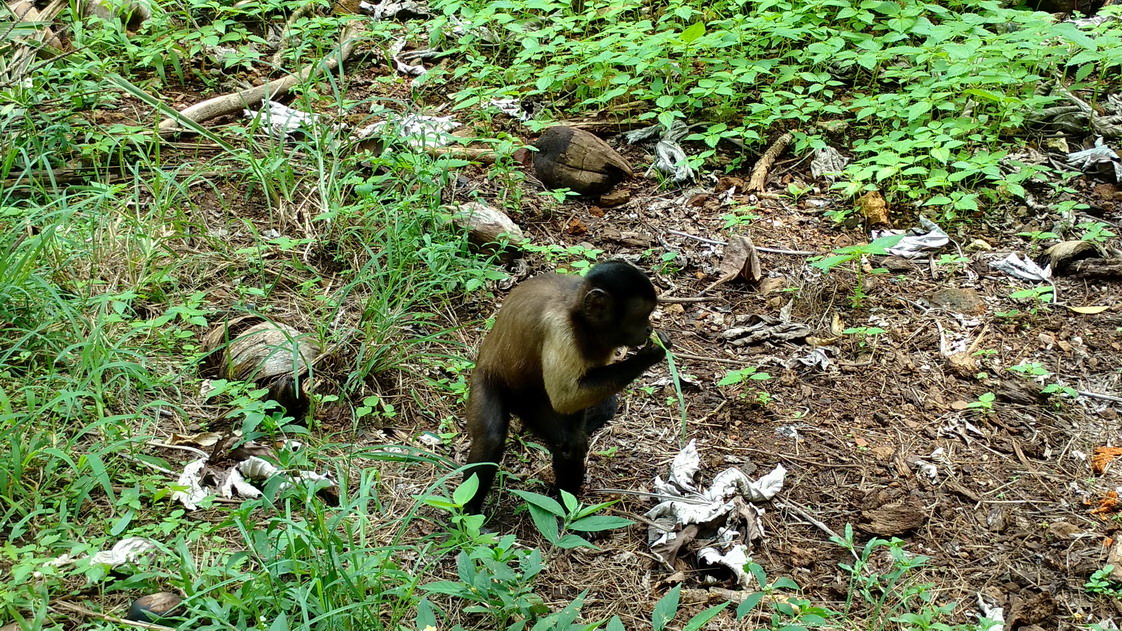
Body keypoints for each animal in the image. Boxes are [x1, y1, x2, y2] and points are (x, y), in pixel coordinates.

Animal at [462, 258, 668, 514]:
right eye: (641, 316)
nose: (649, 328)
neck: (579, 317)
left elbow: (573, 402)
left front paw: (576, 434)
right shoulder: (559, 328)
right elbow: (565, 397)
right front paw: (650, 355)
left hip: (531, 402)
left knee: (565, 448)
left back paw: (563, 509)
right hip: (486, 380)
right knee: (490, 438)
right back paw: (468, 513)